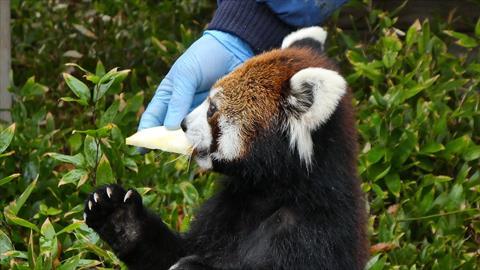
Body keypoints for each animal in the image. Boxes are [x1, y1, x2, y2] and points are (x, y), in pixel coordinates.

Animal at [84, 25, 370, 270]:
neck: (266, 194)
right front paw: (118, 215)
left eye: (212, 108)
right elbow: (172, 252)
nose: (183, 123)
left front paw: (192, 266)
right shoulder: (226, 209)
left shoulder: (313, 235)